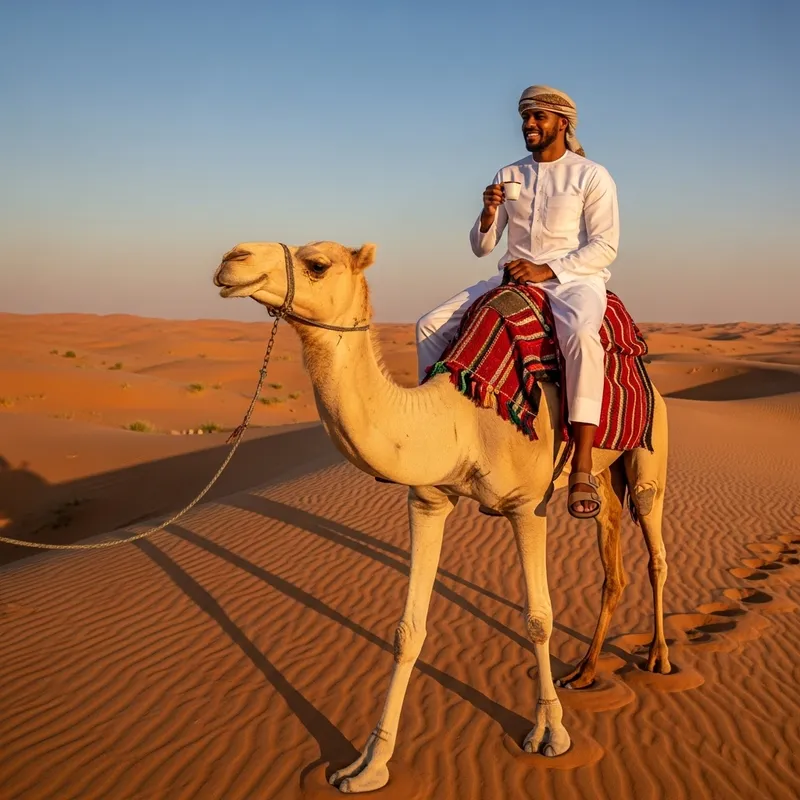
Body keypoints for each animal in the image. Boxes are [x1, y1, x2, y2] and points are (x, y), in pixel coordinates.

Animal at [213, 240, 670, 794]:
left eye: (317, 264)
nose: (232, 258)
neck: (466, 416)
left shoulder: (527, 506)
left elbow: (538, 620)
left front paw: (550, 734)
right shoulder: (428, 500)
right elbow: (407, 631)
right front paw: (368, 765)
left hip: (649, 454)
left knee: (655, 550)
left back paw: (659, 658)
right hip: (605, 474)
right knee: (612, 561)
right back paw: (583, 672)